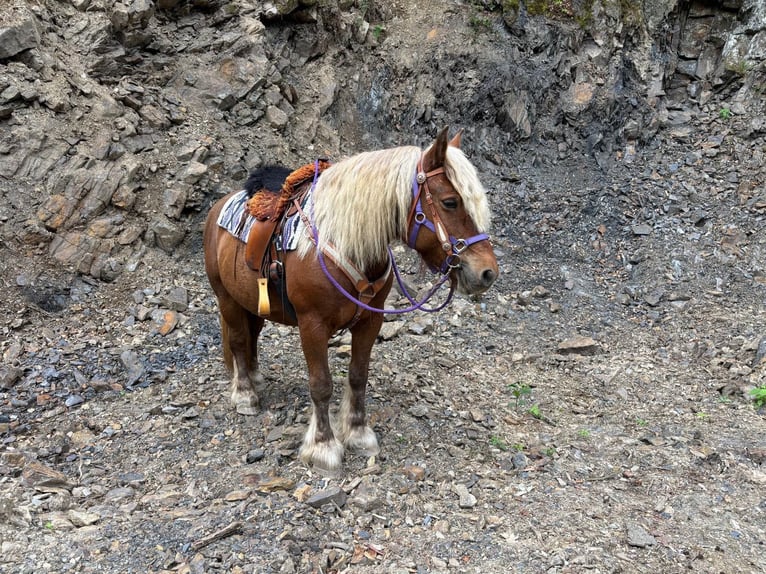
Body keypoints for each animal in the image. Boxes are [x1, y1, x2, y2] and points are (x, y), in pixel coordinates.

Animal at [203, 127, 499, 473]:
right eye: (450, 202)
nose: (487, 273)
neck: (344, 244)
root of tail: (220, 204)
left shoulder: (371, 320)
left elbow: (358, 376)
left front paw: (358, 434)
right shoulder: (312, 326)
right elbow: (321, 384)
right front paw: (324, 447)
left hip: (252, 304)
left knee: (251, 339)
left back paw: (256, 378)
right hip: (226, 298)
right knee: (238, 341)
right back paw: (245, 394)